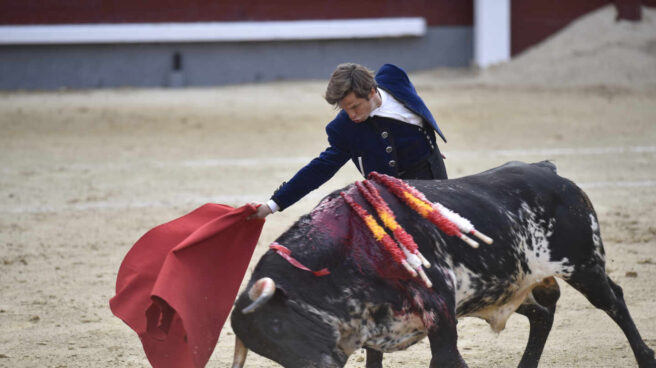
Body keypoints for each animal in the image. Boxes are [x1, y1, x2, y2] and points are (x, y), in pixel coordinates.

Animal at [231, 162, 656, 368]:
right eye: (267, 349)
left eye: (276, 324)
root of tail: (551, 173)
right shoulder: (378, 324)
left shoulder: (439, 310)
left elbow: (447, 359)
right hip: (507, 286)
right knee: (543, 312)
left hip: (584, 263)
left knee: (613, 300)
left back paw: (646, 357)